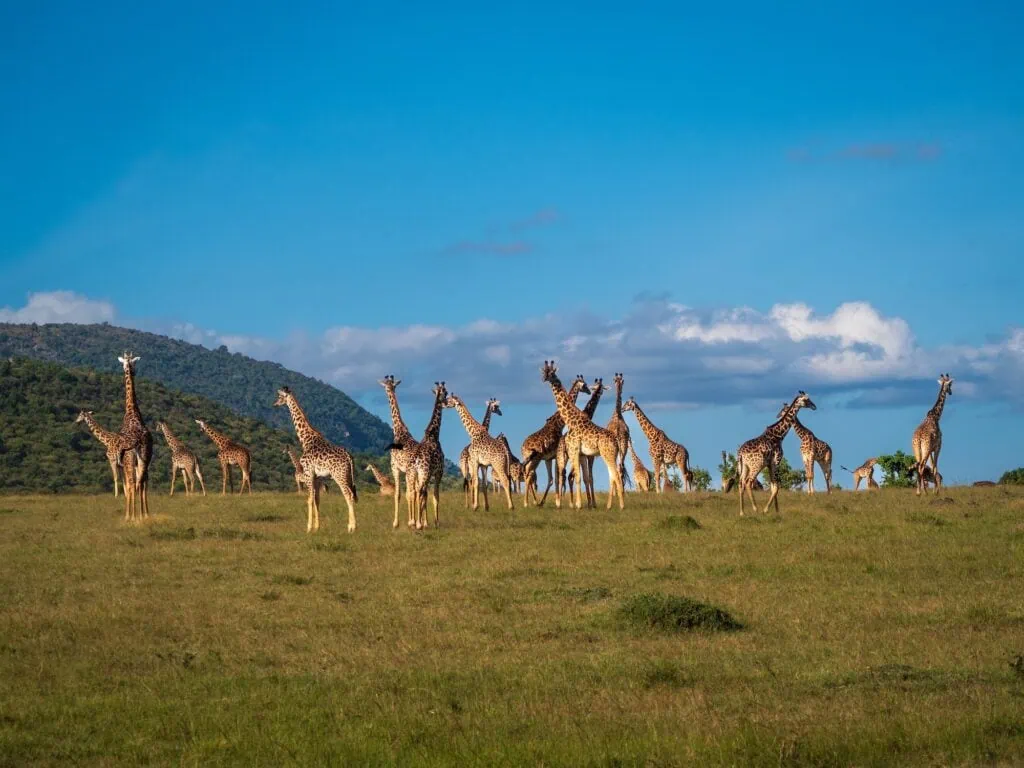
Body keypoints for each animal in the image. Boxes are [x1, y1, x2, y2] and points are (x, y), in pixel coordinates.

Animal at [273, 386, 358, 533]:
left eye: (280, 397)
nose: (274, 404)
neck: (306, 439)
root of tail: (349, 457)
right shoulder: (317, 477)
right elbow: (317, 500)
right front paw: (317, 527)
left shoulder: (308, 473)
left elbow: (309, 499)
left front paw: (308, 528)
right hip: (347, 475)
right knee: (351, 494)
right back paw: (353, 526)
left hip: (339, 475)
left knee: (347, 494)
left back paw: (351, 527)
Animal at [379, 375, 419, 529]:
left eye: (386, 386)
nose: (387, 389)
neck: (399, 430)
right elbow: (407, 494)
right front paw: (410, 520)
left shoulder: (394, 467)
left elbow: (398, 494)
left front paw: (395, 523)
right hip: (417, 474)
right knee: (418, 492)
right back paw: (419, 521)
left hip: (411, 472)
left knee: (413, 492)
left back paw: (414, 522)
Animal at [406, 382, 448, 529]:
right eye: (446, 393)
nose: (446, 402)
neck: (433, 434)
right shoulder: (438, 472)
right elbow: (435, 496)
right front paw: (435, 522)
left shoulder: (427, 475)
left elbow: (426, 496)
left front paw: (426, 522)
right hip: (423, 473)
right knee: (419, 491)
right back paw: (418, 524)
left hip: (412, 474)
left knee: (413, 492)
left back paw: (413, 522)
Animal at [520, 374, 589, 507]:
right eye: (585, 385)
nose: (589, 391)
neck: (558, 423)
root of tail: (524, 447)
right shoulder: (557, 455)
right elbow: (558, 477)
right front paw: (558, 502)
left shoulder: (549, 458)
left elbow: (552, 479)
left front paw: (549, 501)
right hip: (536, 459)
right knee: (529, 475)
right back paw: (526, 503)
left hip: (528, 458)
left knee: (527, 474)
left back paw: (534, 501)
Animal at [540, 361, 624, 510]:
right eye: (544, 371)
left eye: (552, 373)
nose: (544, 378)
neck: (572, 420)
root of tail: (616, 440)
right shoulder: (582, 454)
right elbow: (583, 477)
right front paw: (584, 504)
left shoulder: (576, 451)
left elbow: (581, 477)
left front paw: (580, 505)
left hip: (606, 455)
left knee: (615, 475)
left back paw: (620, 505)